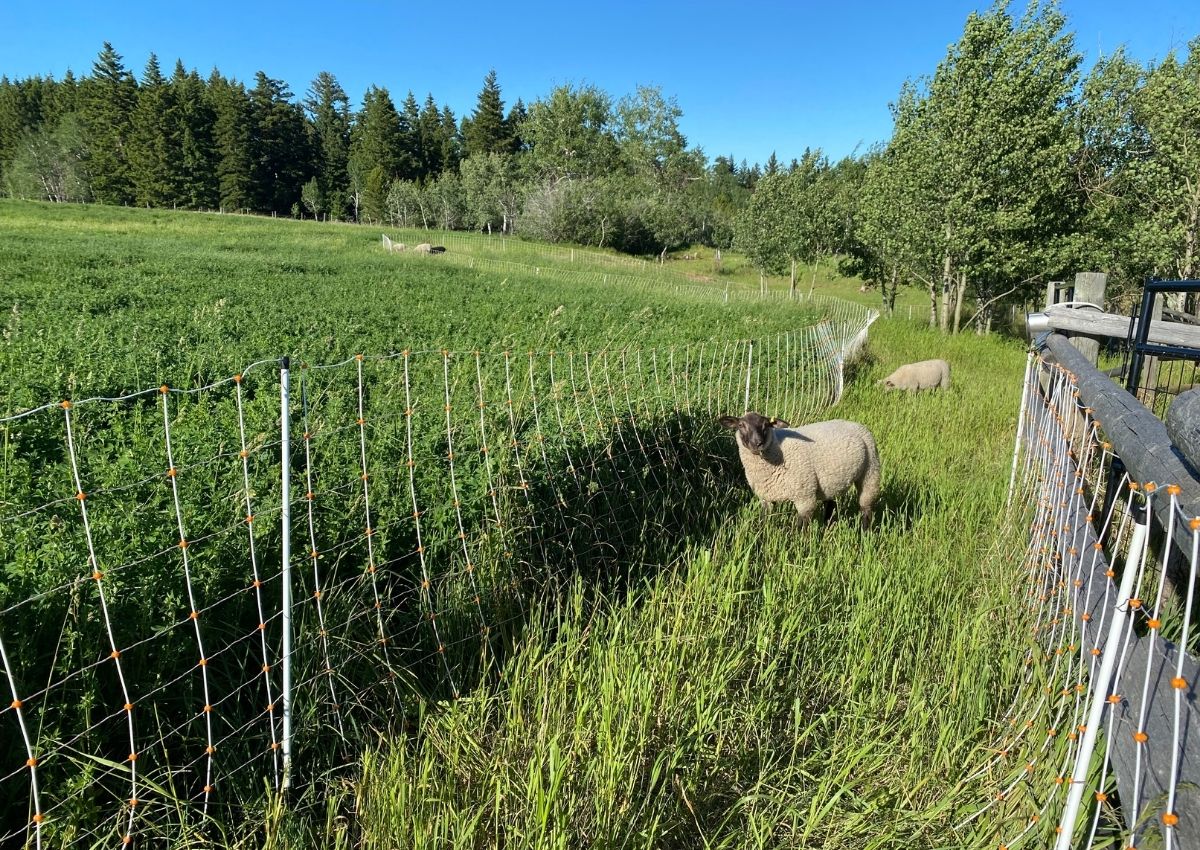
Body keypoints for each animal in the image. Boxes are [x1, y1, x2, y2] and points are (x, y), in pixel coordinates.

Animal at [710, 410, 883, 528]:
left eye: (766, 425)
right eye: (741, 425)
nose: (758, 443)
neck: (777, 450)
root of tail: (855, 423)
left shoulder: (804, 496)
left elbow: (800, 528)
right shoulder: (766, 498)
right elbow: (765, 522)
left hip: (870, 471)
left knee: (866, 508)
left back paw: (865, 534)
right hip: (830, 481)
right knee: (830, 505)